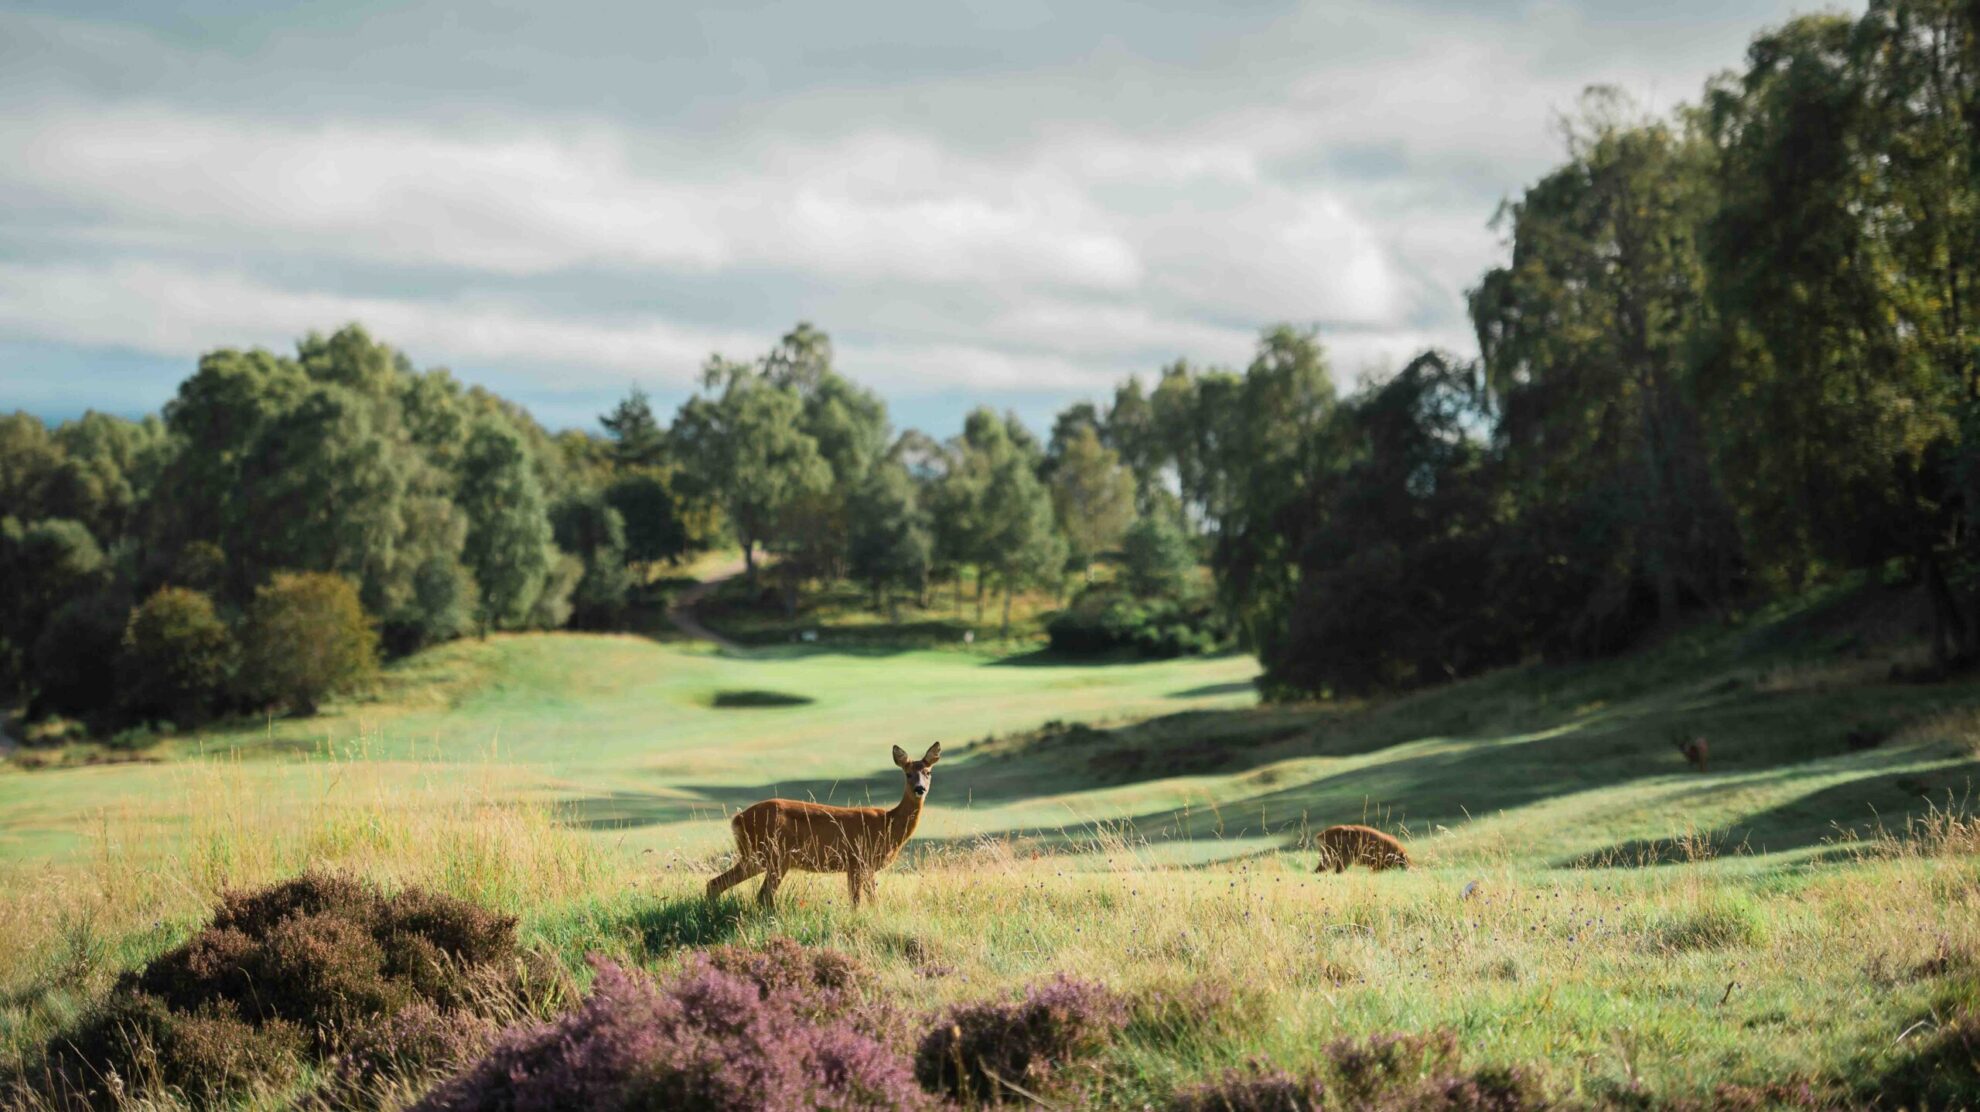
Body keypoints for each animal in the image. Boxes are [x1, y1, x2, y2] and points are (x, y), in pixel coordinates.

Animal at [708, 740, 938, 906]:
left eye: (928, 772)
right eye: (908, 774)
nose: (920, 789)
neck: (888, 824)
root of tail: (737, 819)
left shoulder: (865, 865)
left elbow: (873, 900)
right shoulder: (856, 859)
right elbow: (857, 901)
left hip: (755, 856)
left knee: (716, 883)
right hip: (775, 855)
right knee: (763, 895)